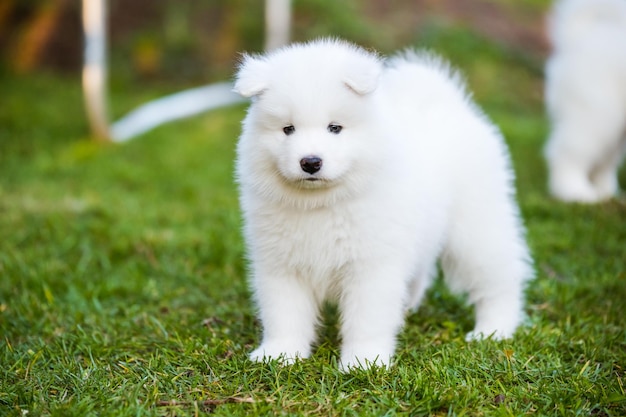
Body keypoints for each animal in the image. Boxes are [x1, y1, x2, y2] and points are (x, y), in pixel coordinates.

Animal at [233, 37, 532, 366]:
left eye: (334, 128)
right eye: (288, 129)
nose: (310, 162)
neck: (321, 204)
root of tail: (447, 103)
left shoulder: (371, 266)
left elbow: (366, 319)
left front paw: (363, 362)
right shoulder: (280, 264)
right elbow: (284, 314)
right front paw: (279, 355)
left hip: (476, 230)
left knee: (499, 280)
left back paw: (493, 330)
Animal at [540, 0, 624, 202]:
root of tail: (579, 39)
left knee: (605, 162)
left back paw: (608, 193)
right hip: (600, 116)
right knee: (566, 154)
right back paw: (576, 192)